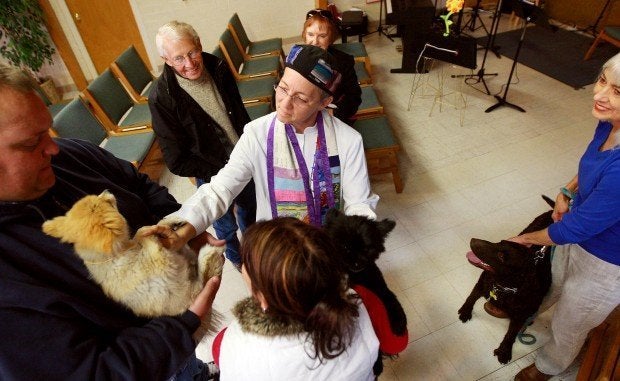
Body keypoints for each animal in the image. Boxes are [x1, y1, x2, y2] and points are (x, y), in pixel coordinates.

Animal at [42, 190, 224, 342]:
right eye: (109, 203)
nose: (106, 191)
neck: (119, 252)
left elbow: (150, 228)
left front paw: (169, 222)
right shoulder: (162, 260)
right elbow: (141, 233)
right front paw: (148, 231)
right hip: (191, 292)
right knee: (203, 279)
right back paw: (210, 254)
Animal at [458, 196, 556, 362]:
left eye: (502, 256)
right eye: (500, 242)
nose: (472, 239)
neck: (504, 285)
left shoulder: (520, 315)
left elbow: (511, 334)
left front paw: (504, 350)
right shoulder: (482, 283)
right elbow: (471, 297)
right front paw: (465, 311)